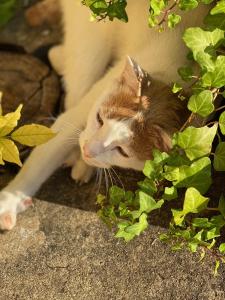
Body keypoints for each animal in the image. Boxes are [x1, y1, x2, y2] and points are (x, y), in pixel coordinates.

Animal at [0, 0, 209, 230]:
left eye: (122, 151)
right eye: (99, 119)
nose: (87, 150)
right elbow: (50, 146)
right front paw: (11, 198)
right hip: (90, 36)